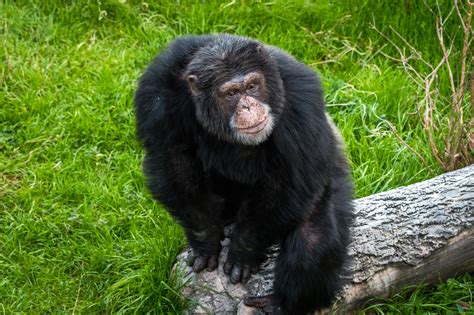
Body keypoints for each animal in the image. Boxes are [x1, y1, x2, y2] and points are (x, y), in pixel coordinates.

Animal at [135, 34, 354, 315]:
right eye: (231, 93)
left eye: (252, 86)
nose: (249, 106)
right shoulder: (157, 92)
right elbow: (172, 160)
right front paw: (205, 241)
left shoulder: (301, 98)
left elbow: (292, 180)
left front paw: (243, 252)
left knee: (313, 242)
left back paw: (280, 303)